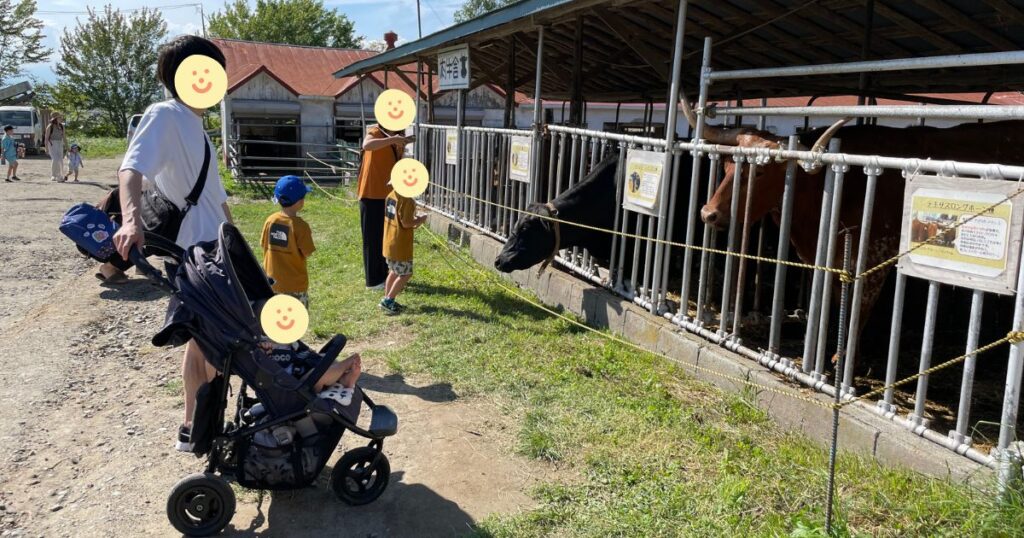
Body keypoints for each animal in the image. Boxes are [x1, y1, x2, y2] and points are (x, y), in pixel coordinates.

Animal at [692, 98, 1024, 370]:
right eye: (727, 165)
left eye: (759, 172)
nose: (709, 213)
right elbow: (835, 300)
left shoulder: (876, 257)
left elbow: (858, 308)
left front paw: (844, 360)